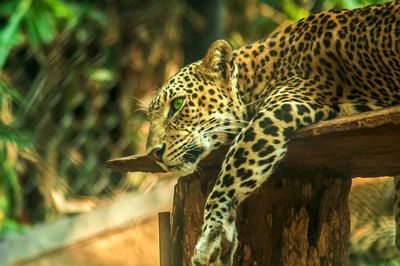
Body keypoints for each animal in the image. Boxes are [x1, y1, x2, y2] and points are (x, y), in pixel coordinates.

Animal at [145, 1, 400, 264]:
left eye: (177, 104)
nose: (153, 153)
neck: (260, 72)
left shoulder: (280, 109)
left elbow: (230, 172)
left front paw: (212, 236)